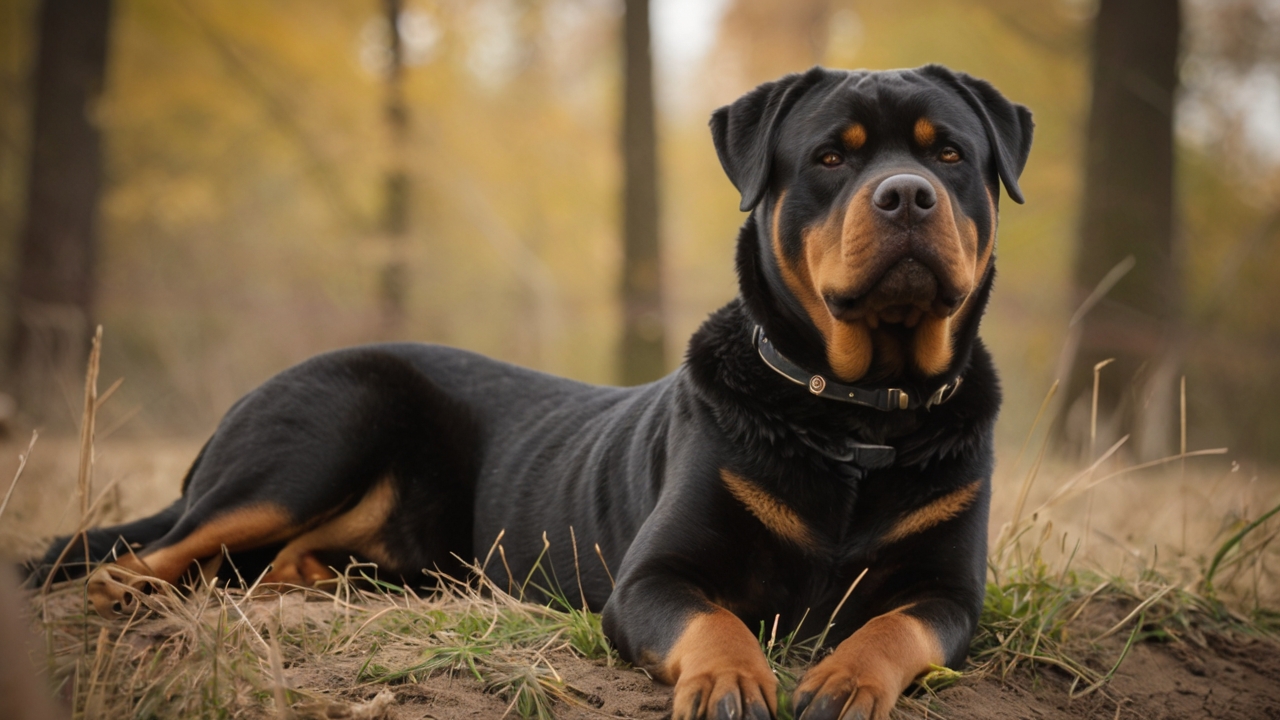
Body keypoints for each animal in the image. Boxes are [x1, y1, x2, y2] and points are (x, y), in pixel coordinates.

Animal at [35, 64, 1029, 712]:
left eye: (949, 156)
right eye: (830, 158)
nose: (905, 195)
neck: (851, 416)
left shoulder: (947, 593)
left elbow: (894, 629)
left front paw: (846, 681)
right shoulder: (654, 578)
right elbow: (715, 623)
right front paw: (732, 681)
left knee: (279, 561)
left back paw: (307, 586)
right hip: (323, 430)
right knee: (150, 553)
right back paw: (136, 594)